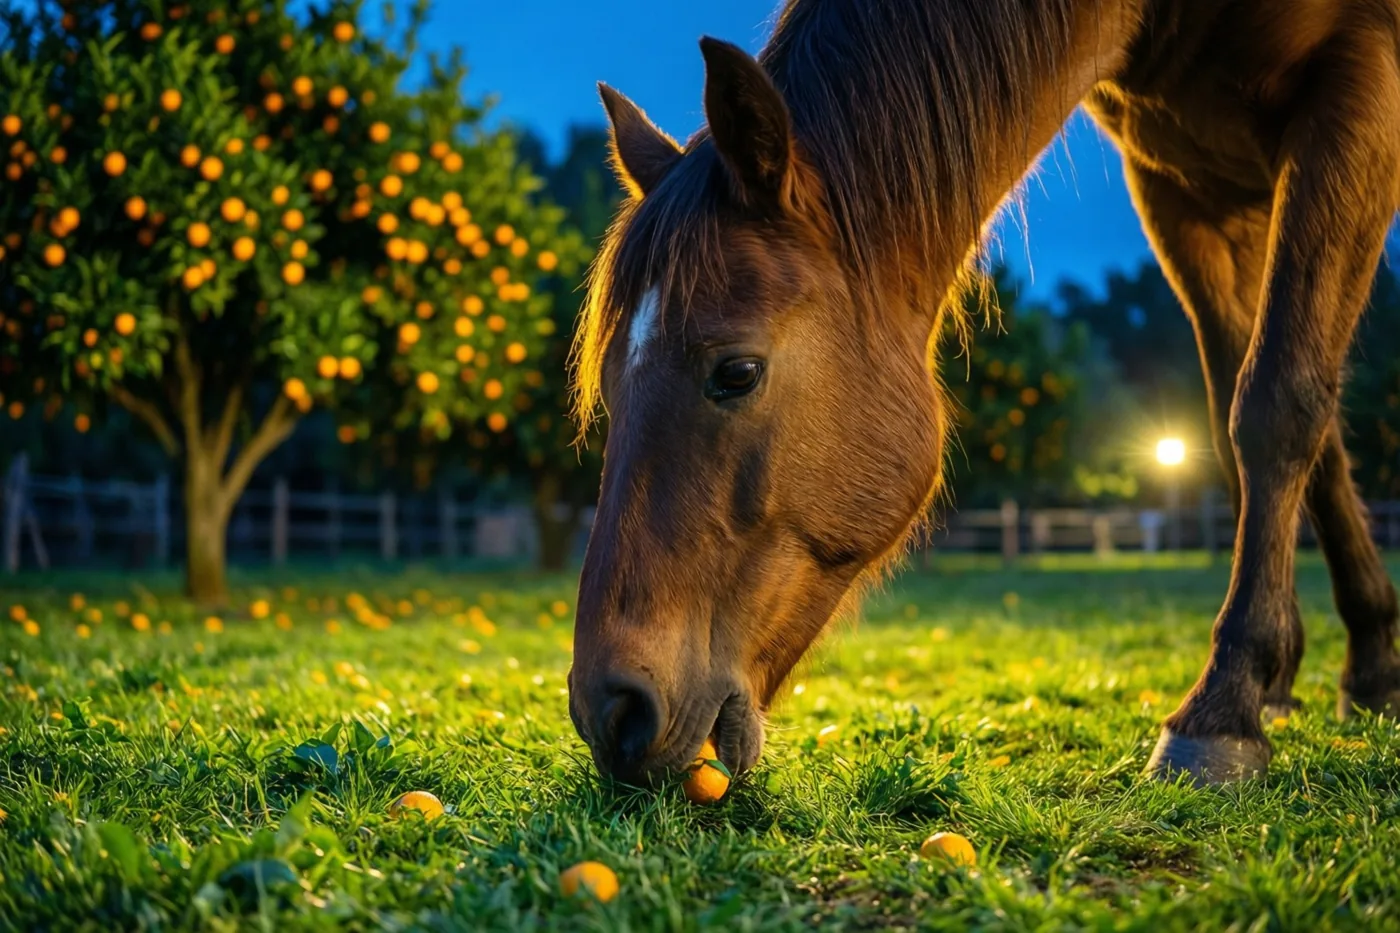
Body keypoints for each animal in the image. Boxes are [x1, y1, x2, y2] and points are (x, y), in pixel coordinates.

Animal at [565, 0, 1400, 786]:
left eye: (736, 372)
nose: (611, 709)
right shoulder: (1180, 183)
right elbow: (1273, 414)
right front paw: (1348, 664)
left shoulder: (1358, 92)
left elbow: (1276, 404)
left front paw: (1226, 707)